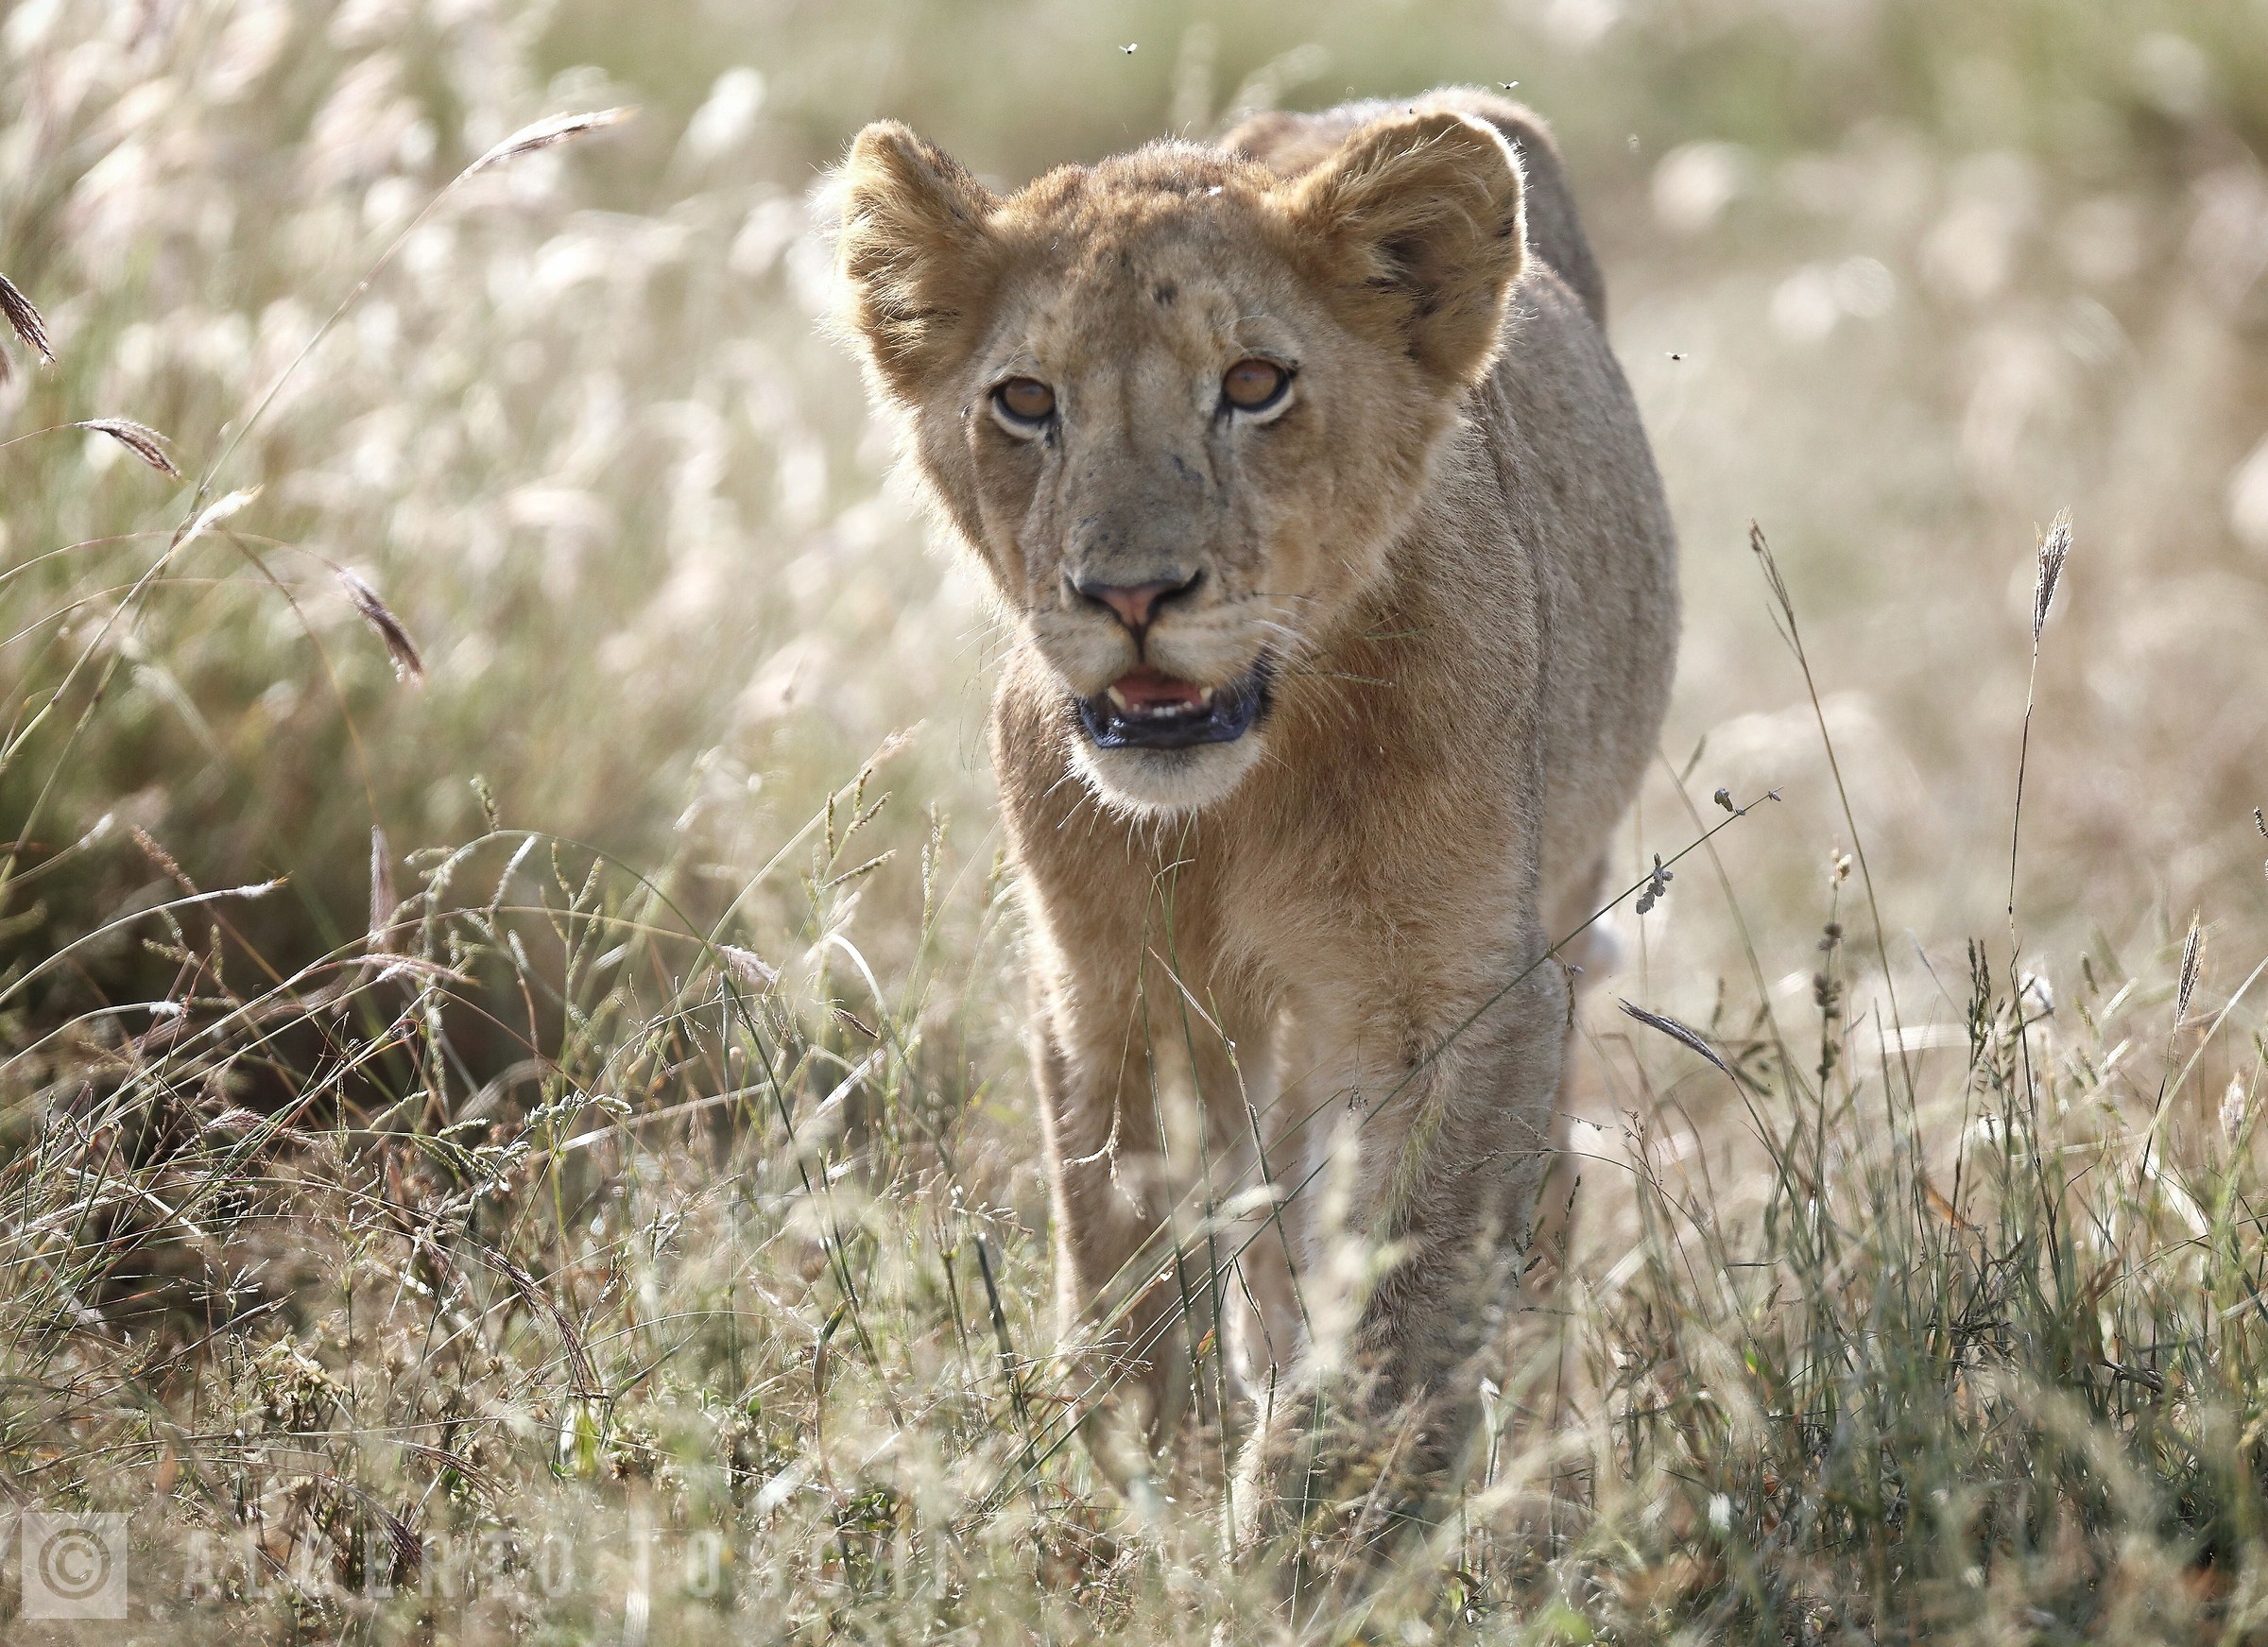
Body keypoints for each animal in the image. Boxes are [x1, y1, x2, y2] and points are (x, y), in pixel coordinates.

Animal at [836, 87, 1678, 1573]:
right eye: (1027, 401)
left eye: (1252, 386)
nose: (1130, 594)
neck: (1246, 795)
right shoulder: (1113, 987)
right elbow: (1123, 1265)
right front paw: (1155, 1498)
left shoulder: (1457, 996)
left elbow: (1404, 1286)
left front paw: (1310, 1539)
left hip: (1562, 907)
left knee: (1526, 1216)